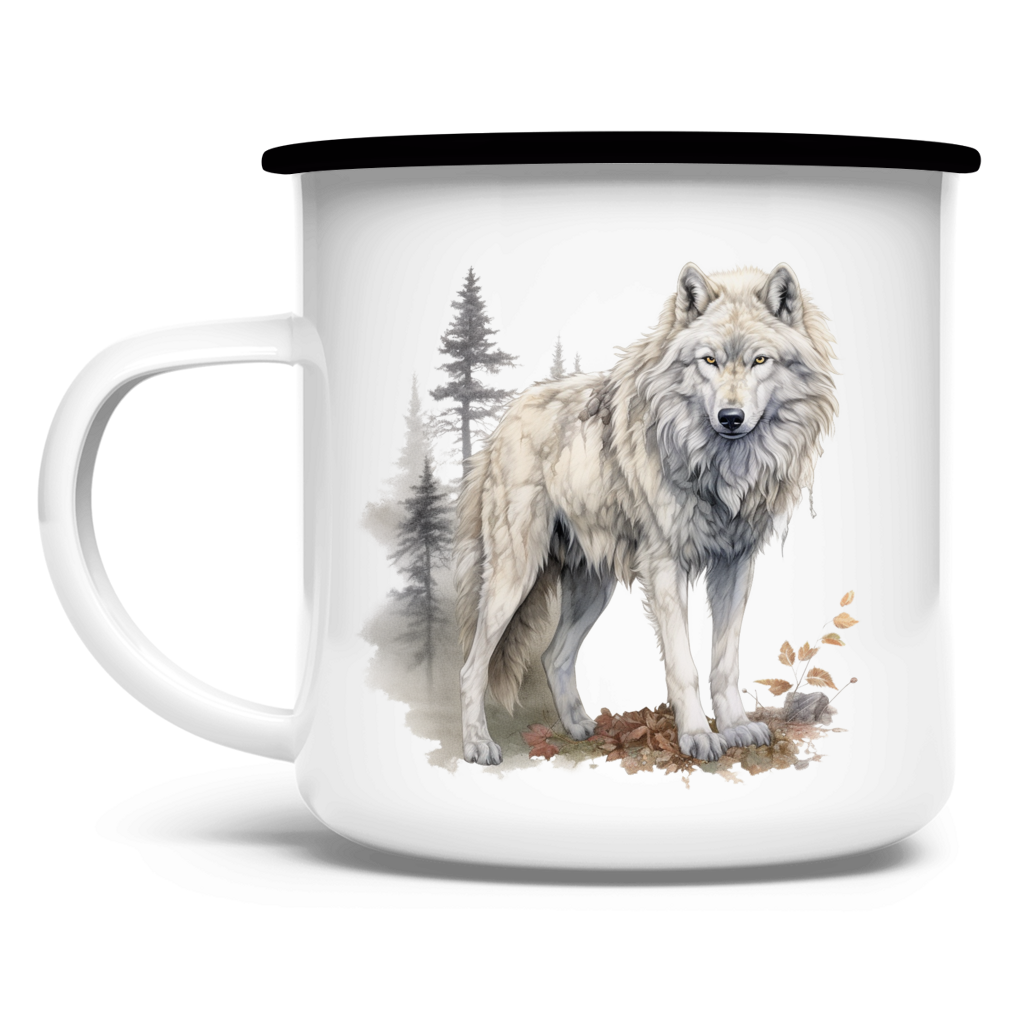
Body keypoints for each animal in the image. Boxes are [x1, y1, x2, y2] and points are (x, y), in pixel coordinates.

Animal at [455, 261, 841, 765]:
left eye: (760, 360)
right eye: (709, 360)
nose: (730, 417)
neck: (720, 469)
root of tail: (506, 419)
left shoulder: (735, 567)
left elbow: (723, 663)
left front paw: (737, 728)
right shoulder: (665, 569)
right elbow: (684, 666)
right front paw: (698, 736)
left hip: (593, 588)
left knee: (554, 655)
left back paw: (579, 728)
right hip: (514, 577)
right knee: (471, 666)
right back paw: (478, 744)